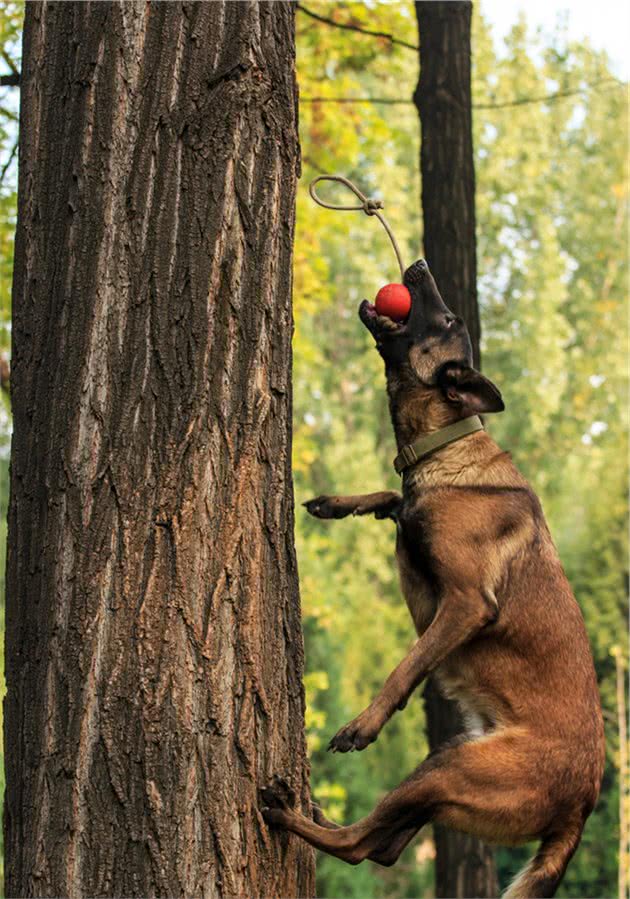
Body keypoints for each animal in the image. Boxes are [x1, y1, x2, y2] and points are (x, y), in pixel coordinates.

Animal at [262, 256, 608, 896]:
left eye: (446, 319)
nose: (418, 264)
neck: (444, 447)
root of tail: (582, 807)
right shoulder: (414, 517)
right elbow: (394, 501)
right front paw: (339, 503)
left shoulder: (467, 603)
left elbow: (407, 666)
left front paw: (364, 724)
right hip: (445, 767)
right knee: (383, 844)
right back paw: (314, 809)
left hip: (456, 768)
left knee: (360, 848)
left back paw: (288, 814)